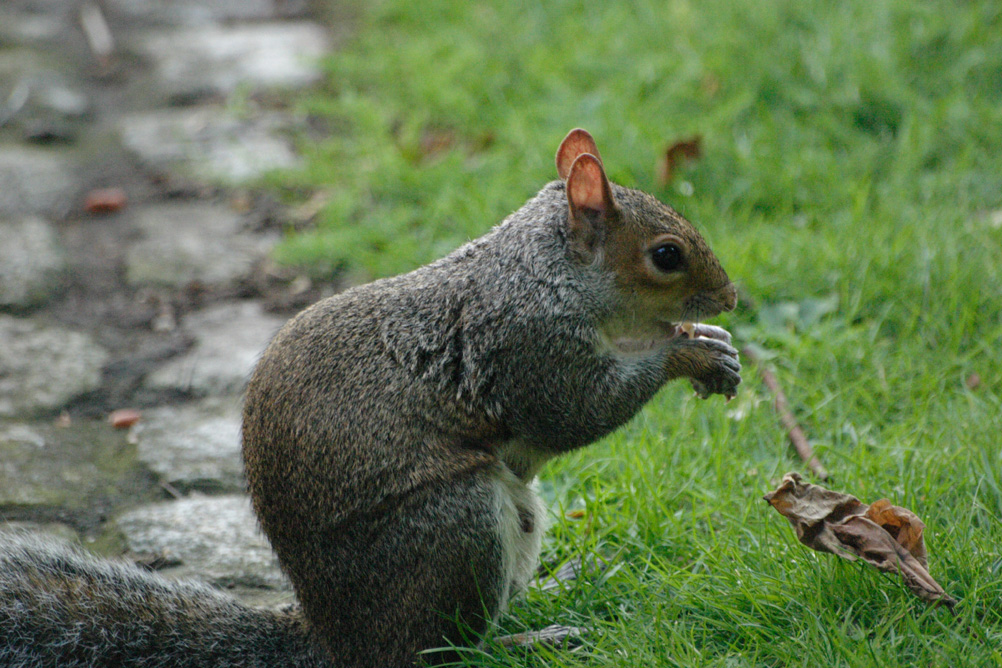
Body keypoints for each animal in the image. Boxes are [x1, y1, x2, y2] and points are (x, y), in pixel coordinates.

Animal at [0, 128, 737, 664]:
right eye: (666, 255)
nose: (732, 298)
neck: (546, 273)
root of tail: (337, 636)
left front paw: (714, 344)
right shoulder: (527, 346)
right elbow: (575, 412)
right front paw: (689, 351)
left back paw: (560, 585)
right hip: (455, 525)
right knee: (435, 651)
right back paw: (530, 638)